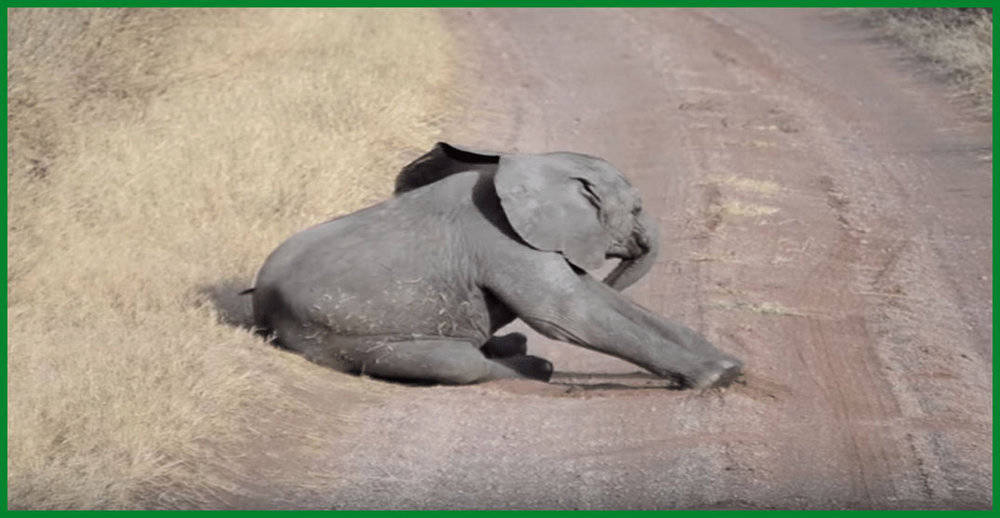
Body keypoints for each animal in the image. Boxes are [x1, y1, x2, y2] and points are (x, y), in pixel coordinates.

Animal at [248, 142, 743, 389]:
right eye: (638, 208)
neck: (533, 166)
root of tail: (260, 312)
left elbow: (586, 296)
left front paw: (728, 363)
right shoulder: (500, 239)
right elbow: (566, 314)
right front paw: (716, 377)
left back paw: (512, 346)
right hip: (341, 339)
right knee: (458, 365)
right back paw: (536, 370)